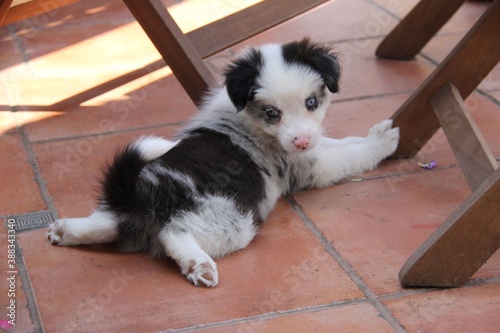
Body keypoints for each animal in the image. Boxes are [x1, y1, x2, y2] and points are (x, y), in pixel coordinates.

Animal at [47, 37, 398, 286]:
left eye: (311, 102)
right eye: (273, 113)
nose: (301, 140)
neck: (252, 121)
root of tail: (142, 193)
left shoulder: (311, 150)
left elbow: (340, 143)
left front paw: (363, 137)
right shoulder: (308, 167)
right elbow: (350, 155)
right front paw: (381, 141)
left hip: (130, 212)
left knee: (111, 222)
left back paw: (66, 231)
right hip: (230, 221)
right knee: (171, 233)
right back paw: (198, 265)